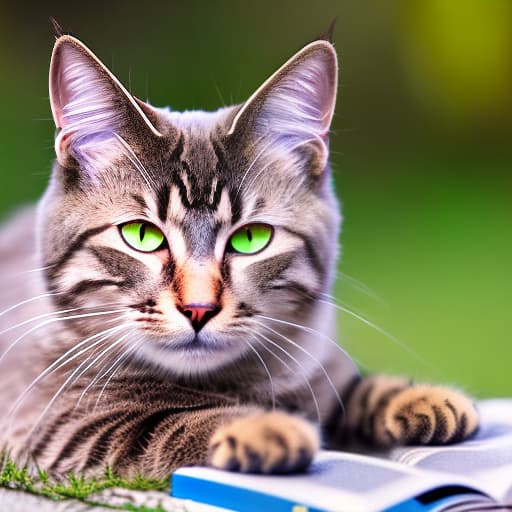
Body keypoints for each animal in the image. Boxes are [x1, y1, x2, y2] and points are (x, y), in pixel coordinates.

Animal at [0, 33, 480, 480]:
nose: (198, 308)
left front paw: (417, 395)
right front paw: (263, 427)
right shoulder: (53, 425)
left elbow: (345, 387)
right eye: (141, 235)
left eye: (250, 238)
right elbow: (164, 424)